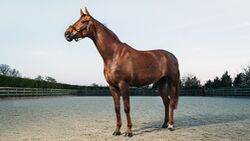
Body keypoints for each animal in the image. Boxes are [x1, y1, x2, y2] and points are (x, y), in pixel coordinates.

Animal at [64, 7, 181, 137]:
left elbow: (126, 107)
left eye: (84, 21)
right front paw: (117, 130)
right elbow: (117, 108)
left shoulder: (124, 85)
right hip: (161, 83)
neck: (114, 55)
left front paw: (129, 132)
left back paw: (171, 125)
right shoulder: (112, 87)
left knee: (171, 102)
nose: (67, 34)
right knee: (166, 102)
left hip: (171, 82)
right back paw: (164, 124)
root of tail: (172, 56)